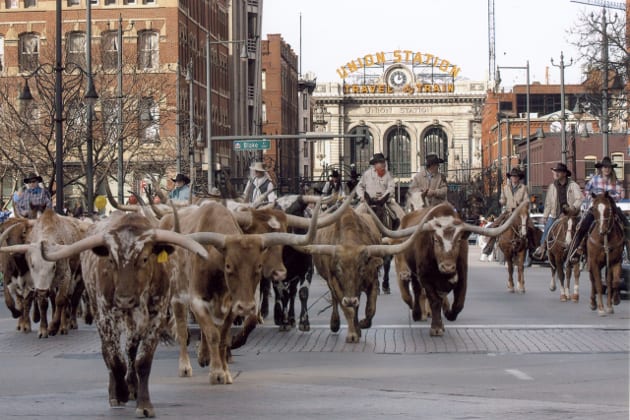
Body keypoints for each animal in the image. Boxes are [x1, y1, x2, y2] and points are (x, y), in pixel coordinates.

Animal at [40, 210, 210, 416]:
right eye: (111, 260)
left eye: (144, 259)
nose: (124, 300)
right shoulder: (106, 317)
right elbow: (115, 360)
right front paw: (119, 392)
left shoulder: (156, 318)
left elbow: (142, 362)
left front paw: (144, 404)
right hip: (100, 313)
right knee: (108, 353)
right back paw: (117, 390)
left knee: (129, 350)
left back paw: (132, 386)